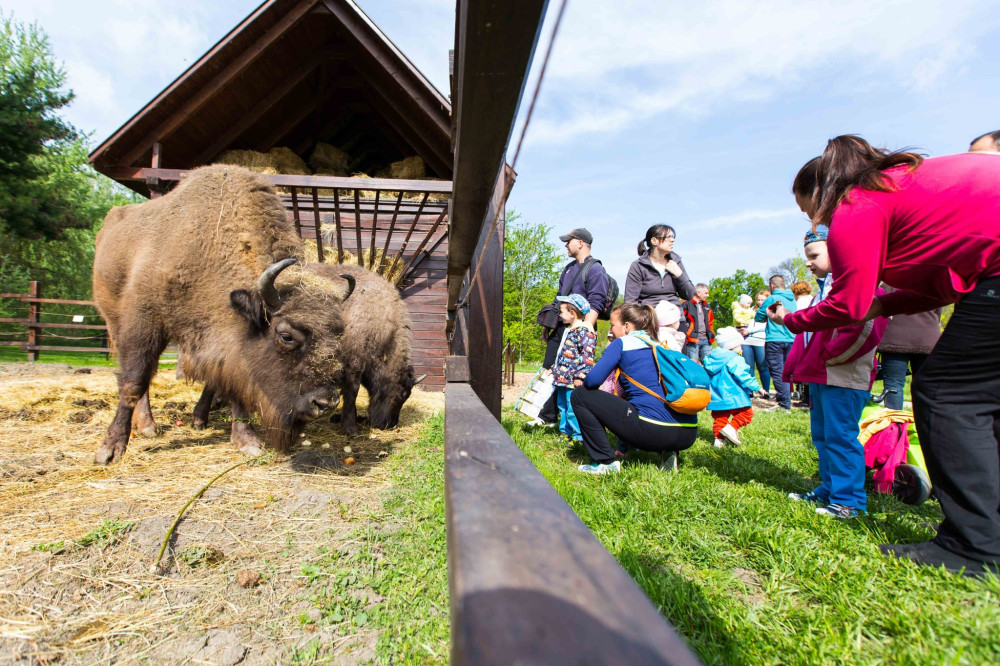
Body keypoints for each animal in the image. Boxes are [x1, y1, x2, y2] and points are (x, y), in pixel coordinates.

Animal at [91, 165, 356, 462]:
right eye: (286, 336)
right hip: (114, 321)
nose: (325, 403)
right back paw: (147, 426)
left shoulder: (231, 349)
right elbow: (133, 381)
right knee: (142, 377)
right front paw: (110, 449)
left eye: (339, 335)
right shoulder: (144, 320)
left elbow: (233, 386)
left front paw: (246, 440)